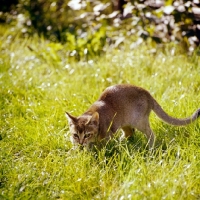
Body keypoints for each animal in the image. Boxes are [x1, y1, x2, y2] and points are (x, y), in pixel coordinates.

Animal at [66, 83, 200, 149]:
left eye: (87, 135)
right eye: (75, 135)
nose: (81, 142)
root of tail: (148, 94)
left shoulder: (107, 135)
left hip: (139, 121)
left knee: (151, 134)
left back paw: (150, 150)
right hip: (125, 122)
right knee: (129, 133)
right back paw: (121, 142)